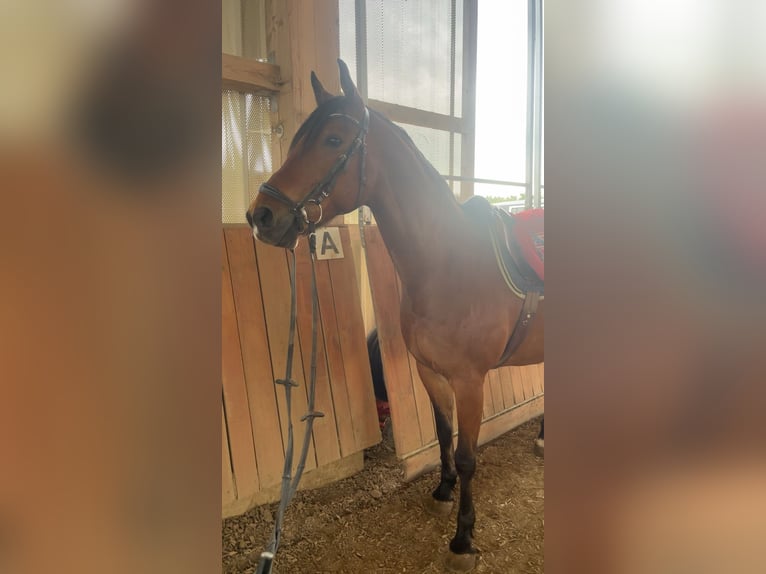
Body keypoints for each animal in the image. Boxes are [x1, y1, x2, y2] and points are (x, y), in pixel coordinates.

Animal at [246, 60, 543, 572]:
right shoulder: (430, 372)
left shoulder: (470, 381)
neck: (449, 264)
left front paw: (463, 538)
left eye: (333, 140)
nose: (261, 216)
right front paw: (442, 490)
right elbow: (443, 434)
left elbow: (468, 454)